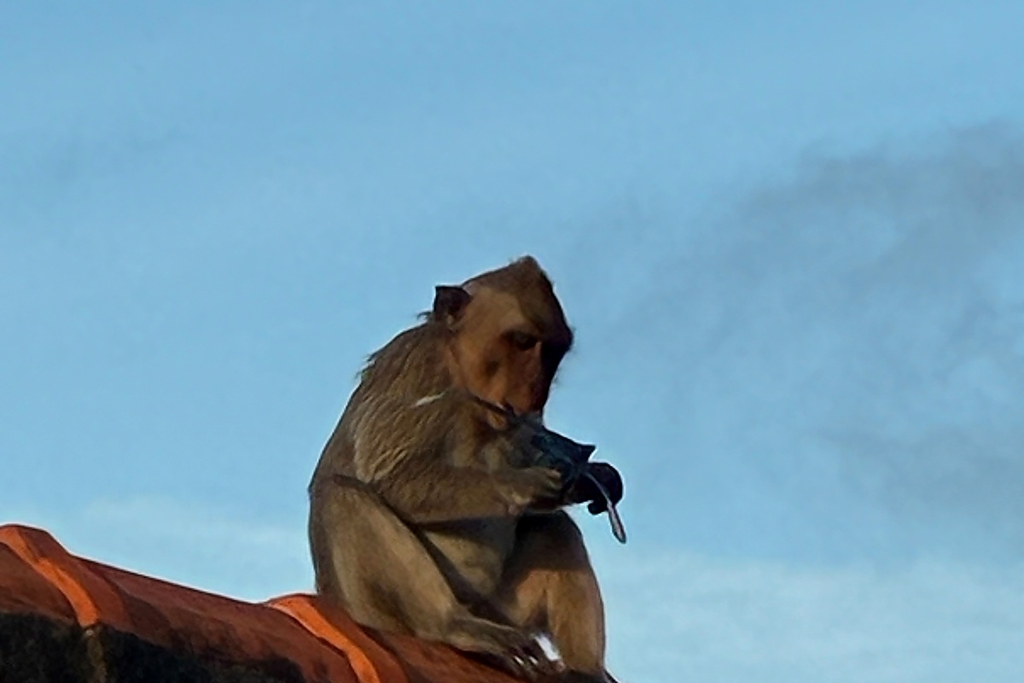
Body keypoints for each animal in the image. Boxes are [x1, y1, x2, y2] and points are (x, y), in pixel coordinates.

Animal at [308, 256, 622, 683]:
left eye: (554, 349)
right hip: (379, 613)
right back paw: (451, 625)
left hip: (504, 607)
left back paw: (584, 669)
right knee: (340, 495)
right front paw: (519, 484)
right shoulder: (417, 367)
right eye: (522, 341)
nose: (535, 392)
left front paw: (595, 476)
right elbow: (391, 477)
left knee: (554, 527)